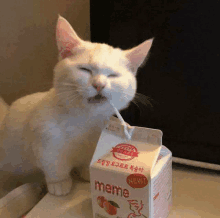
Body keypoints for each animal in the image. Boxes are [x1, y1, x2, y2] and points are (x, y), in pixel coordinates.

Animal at [0, 15, 153, 196]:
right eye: (85, 69)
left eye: (113, 75)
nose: (99, 85)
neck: (85, 122)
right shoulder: (45, 145)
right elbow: (55, 167)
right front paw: (59, 184)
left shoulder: (94, 144)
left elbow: (87, 161)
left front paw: (87, 173)